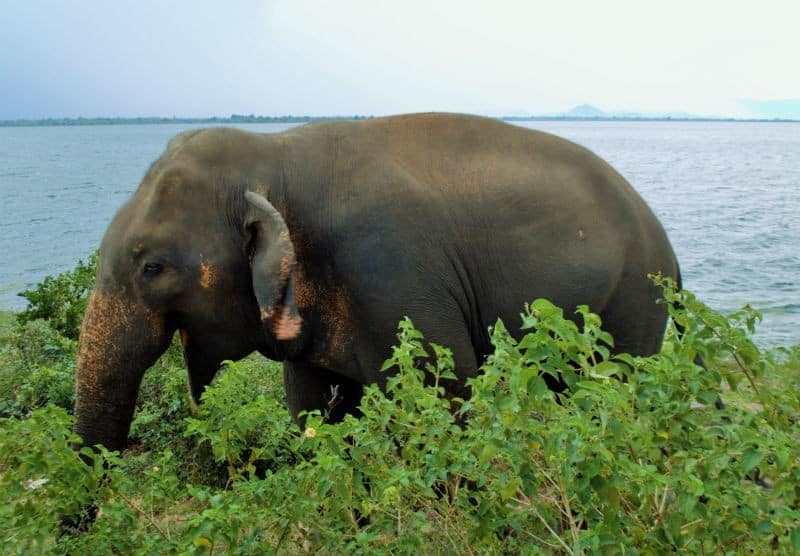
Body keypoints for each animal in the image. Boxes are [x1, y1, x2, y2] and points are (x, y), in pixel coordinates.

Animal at [72, 113, 680, 456]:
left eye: (151, 267)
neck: (275, 156)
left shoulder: (391, 277)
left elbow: (441, 396)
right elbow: (313, 409)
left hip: (636, 297)